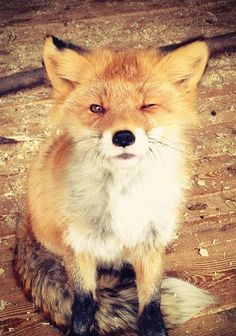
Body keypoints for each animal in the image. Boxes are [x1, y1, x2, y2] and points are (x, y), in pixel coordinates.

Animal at [14, 36, 214, 336]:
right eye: (97, 108)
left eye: (148, 106)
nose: (123, 137)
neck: (124, 197)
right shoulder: (79, 247)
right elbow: (83, 303)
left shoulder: (150, 243)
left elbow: (151, 301)